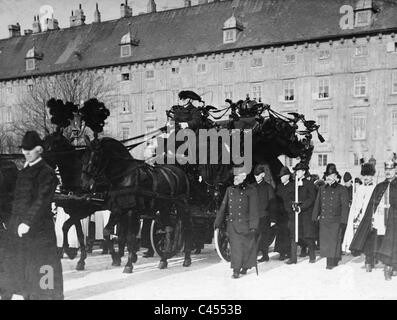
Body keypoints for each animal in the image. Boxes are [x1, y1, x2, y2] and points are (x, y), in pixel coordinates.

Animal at [80, 138, 192, 272]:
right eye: (83, 157)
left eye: (95, 157)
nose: (84, 184)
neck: (124, 175)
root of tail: (180, 173)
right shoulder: (117, 210)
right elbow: (107, 232)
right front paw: (117, 258)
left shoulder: (131, 212)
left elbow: (130, 238)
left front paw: (128, 265)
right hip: (165, 208)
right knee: (169, 229)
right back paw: (164, 259)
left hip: (181, 206)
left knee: (186, 228)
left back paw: (186, 258)